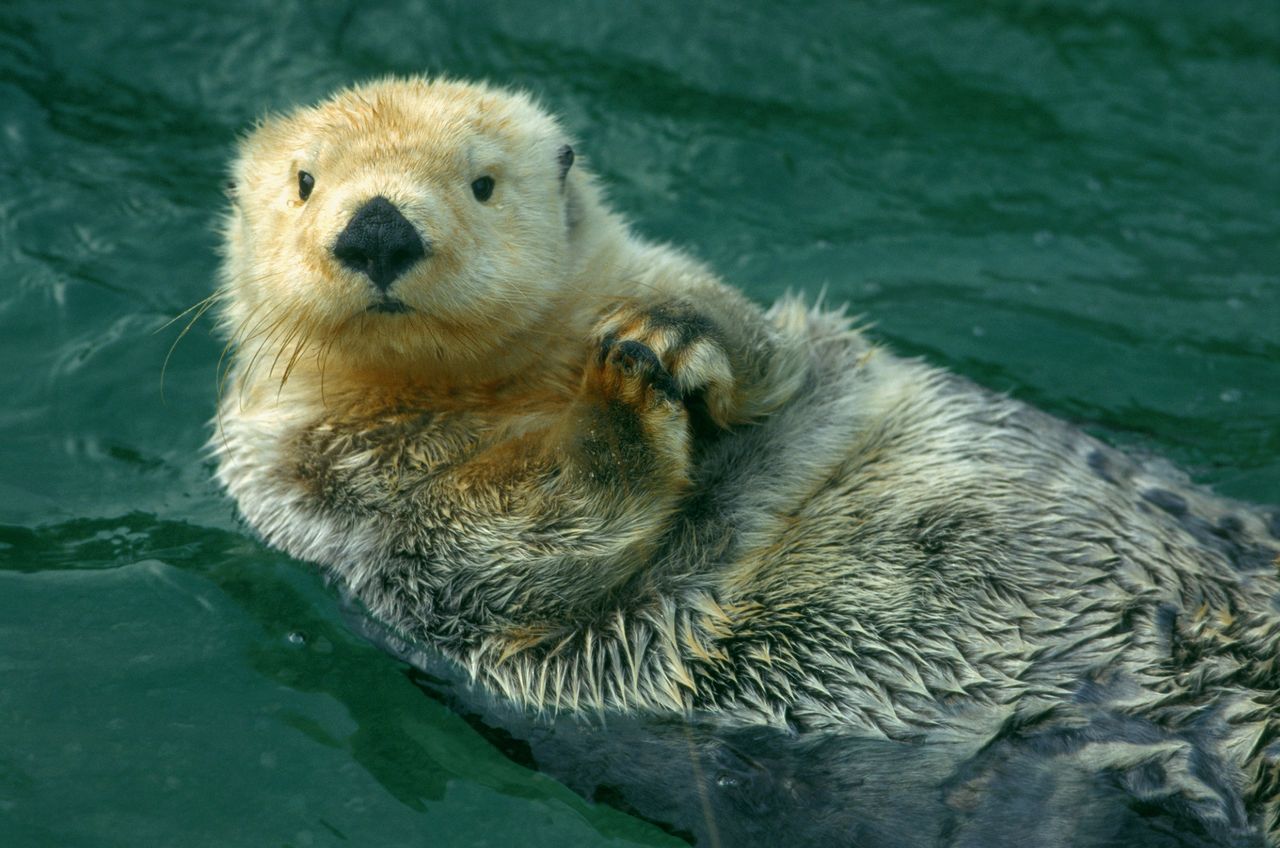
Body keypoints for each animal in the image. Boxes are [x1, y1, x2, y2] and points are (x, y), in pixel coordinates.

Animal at [212, 78, 1280, 845]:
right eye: (305, 181)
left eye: (482, 182)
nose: (377, 227)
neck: (503, 394)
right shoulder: (331, 491)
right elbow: (505, 544)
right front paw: (621, 403)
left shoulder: (759, 339)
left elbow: (767, 355)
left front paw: (668, 336)